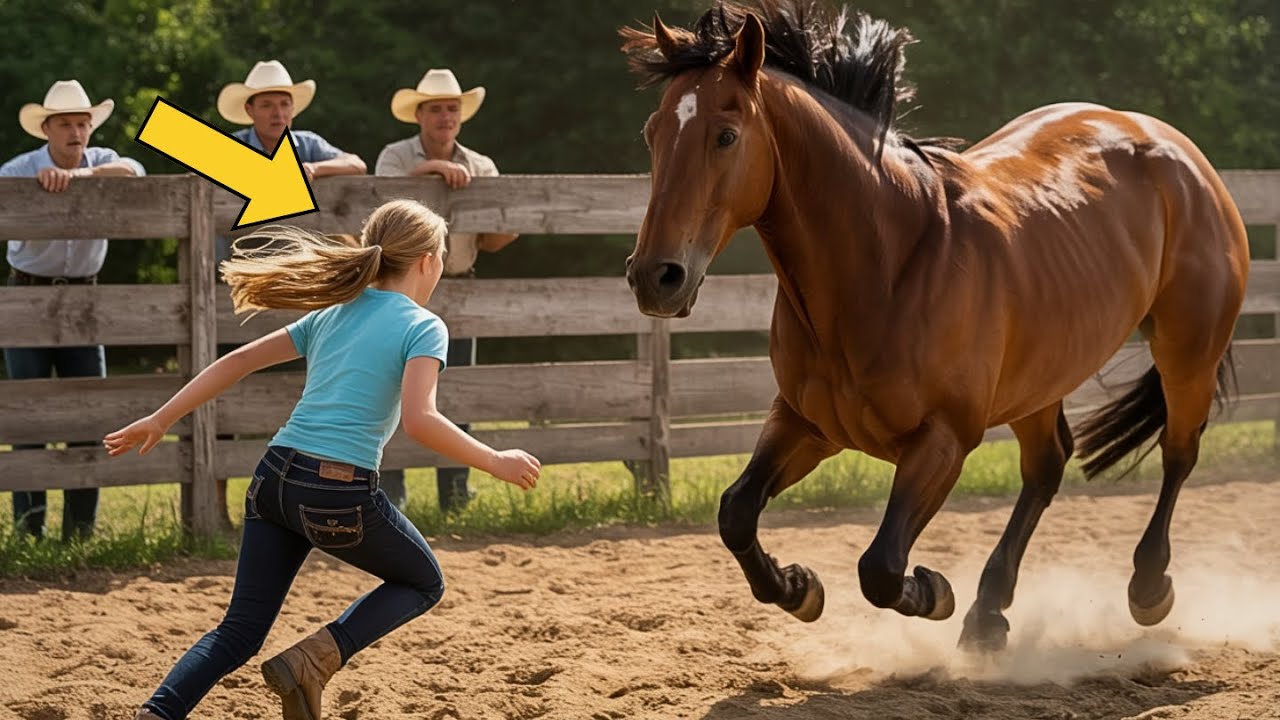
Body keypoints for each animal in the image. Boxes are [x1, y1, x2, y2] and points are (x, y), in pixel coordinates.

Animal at [620, 0, 1249, 651]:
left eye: (725, 135)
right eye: (653, 133)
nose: (656, 277)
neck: (889, 268)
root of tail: (1173, 147)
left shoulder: (944, 438)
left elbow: (881, 566)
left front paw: (932, 589)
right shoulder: (806, 421)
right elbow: (736, 513)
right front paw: (799, 587)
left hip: (1187, 350)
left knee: (1178, 451)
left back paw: (1147, 588)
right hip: (1039, 382)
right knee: (1047, 466)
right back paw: (988, 614)